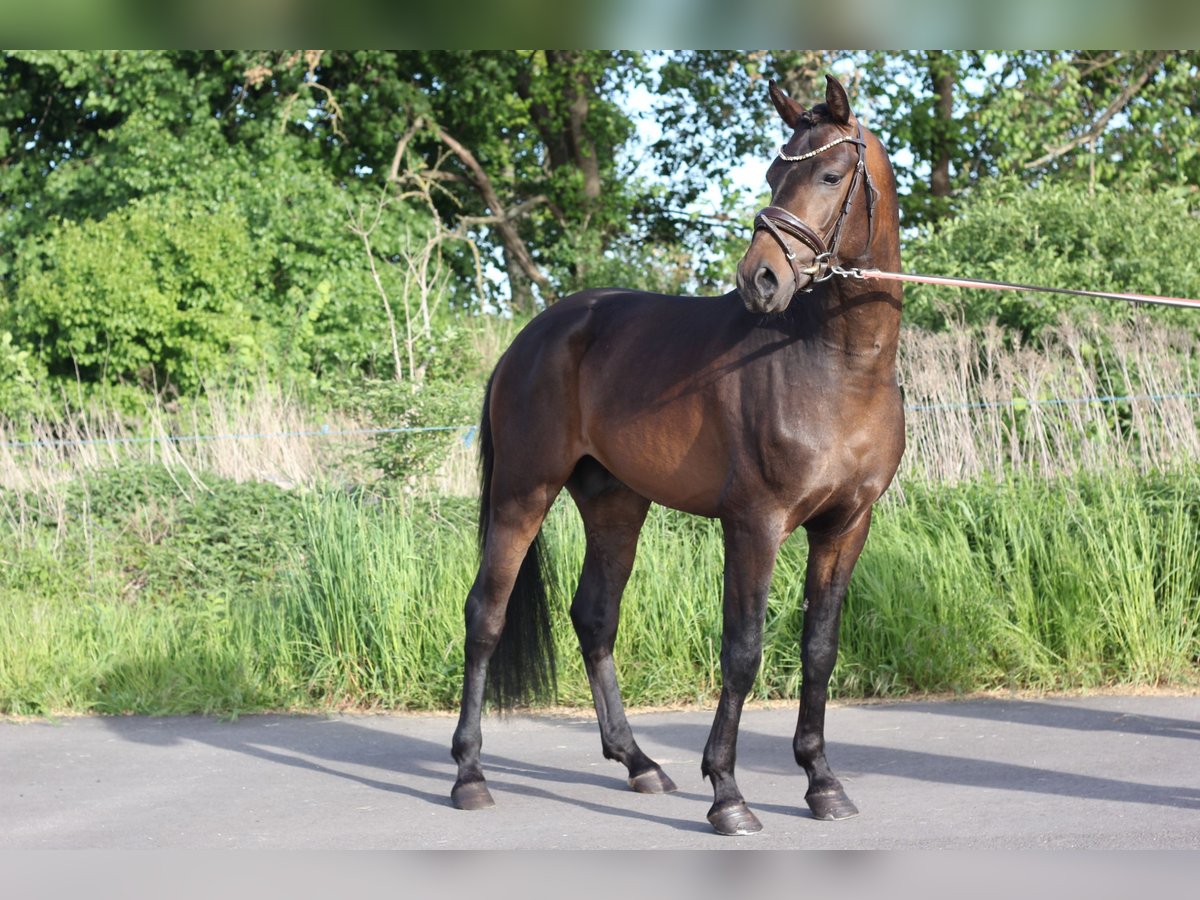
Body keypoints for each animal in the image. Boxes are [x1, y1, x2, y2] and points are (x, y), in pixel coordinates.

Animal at [451, 74, 902, 835]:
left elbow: (819, 650)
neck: (835, 363)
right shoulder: (755, 524)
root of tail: (531, 337)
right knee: (486, 614)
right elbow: (743, 651)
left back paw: (638, 763)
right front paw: (727, 794)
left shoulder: (846, 526)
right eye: (774, 173)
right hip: (522, 493)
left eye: (829, 175)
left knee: (594, 618)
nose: (761, 280)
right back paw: (470, 775)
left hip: (614, 503)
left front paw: (822, 784)